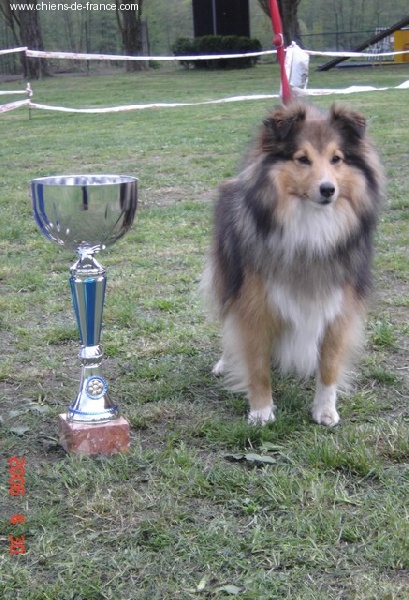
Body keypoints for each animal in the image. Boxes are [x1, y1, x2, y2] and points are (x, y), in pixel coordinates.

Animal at [201, 101, 382, 424]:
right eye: (302, 159)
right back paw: (224, 362)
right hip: (228, 277)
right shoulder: (254, 306)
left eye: (336, 159)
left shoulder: (339, 308)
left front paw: (325, 410)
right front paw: (261, 412)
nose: (328, 190)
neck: (311, 226)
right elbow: (257, 365)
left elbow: (330, 365)